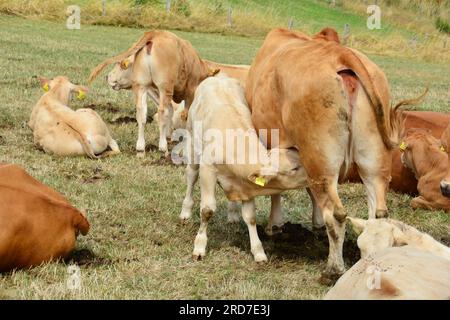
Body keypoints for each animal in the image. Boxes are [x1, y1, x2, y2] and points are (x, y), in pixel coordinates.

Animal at [246, 30, 394, 280]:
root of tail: (340, 53)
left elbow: (276, 187)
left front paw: (275, 225)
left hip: (319, 158)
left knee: (335, 214)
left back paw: (333, 270)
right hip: (372, 161)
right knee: (378, 212)